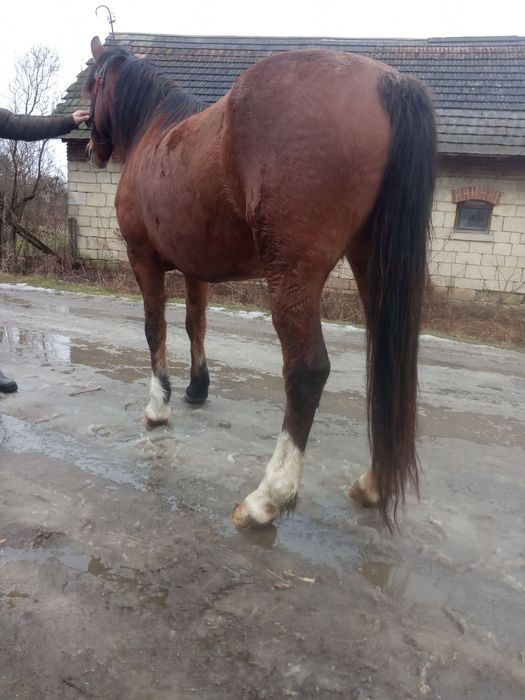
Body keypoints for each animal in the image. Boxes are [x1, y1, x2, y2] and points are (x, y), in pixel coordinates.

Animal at [84, 35, 436, 528]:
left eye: (89, 84)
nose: (91, 145)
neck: (155, 131)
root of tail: (389, 82)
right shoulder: (196, 268)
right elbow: (195, 324)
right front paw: (196, 389)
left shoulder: (144, 261)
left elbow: (155, 328)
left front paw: (158, 408)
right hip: (374, 268)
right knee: (386, 364)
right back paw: (373, 484)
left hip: (293, 277)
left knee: (307, 372)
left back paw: (267, 497)